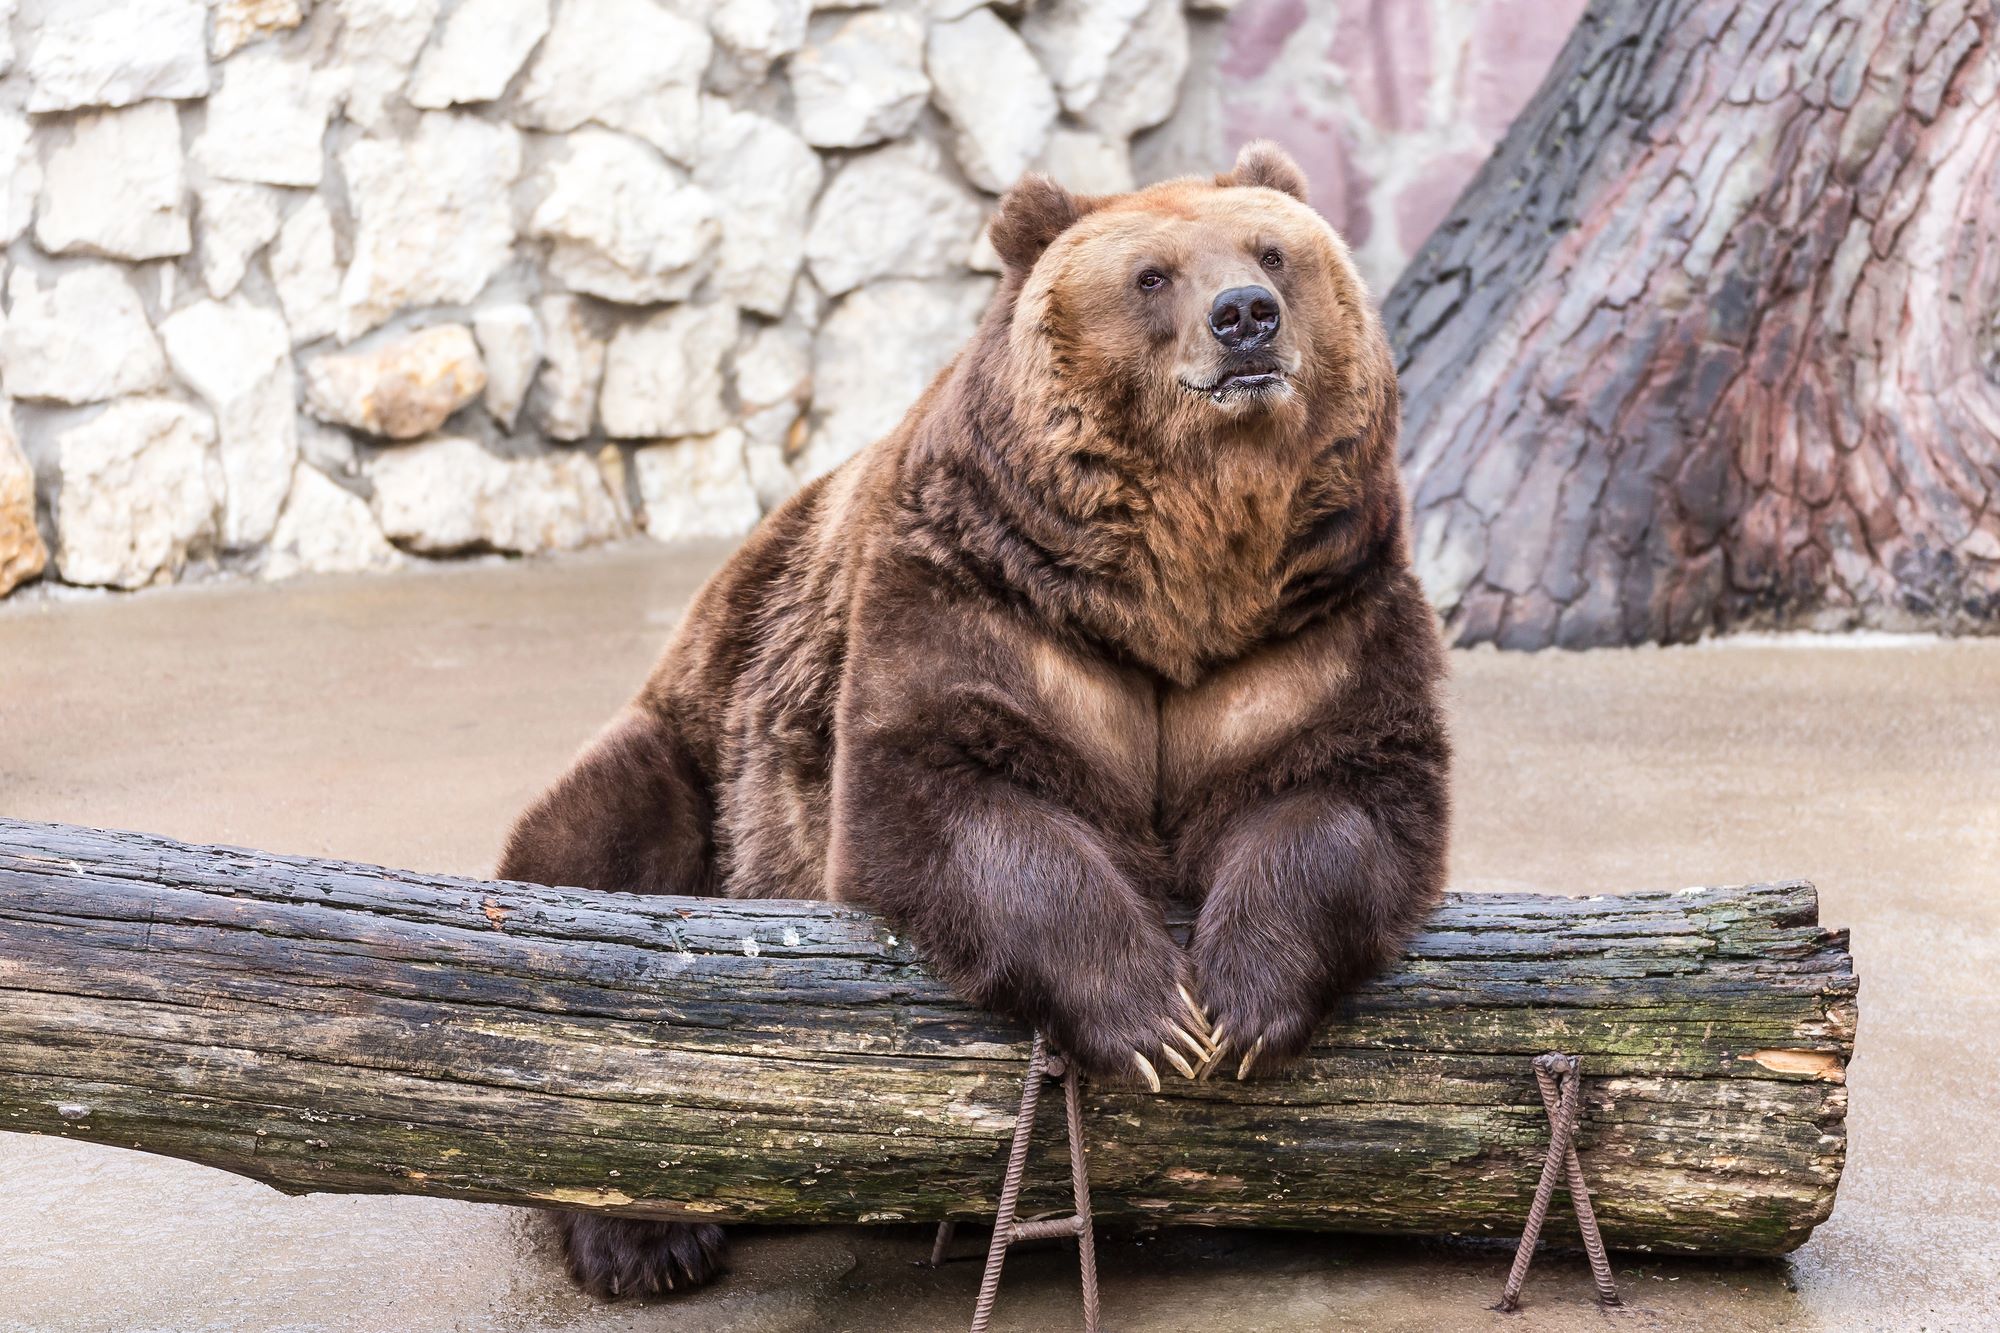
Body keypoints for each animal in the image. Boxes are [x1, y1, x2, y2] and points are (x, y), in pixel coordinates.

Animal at [492, 140, 1448, 1288]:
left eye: (1273, 251)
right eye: (1151, 275)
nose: (1246, 316)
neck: (1182, 584)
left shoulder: (1312, 618)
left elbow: (1342, 788)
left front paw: (1238, 1001)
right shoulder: (987, 593)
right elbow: (947, 793)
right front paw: (1150, 1017)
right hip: (697, 744)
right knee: (598, 877)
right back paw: (648, 1240)